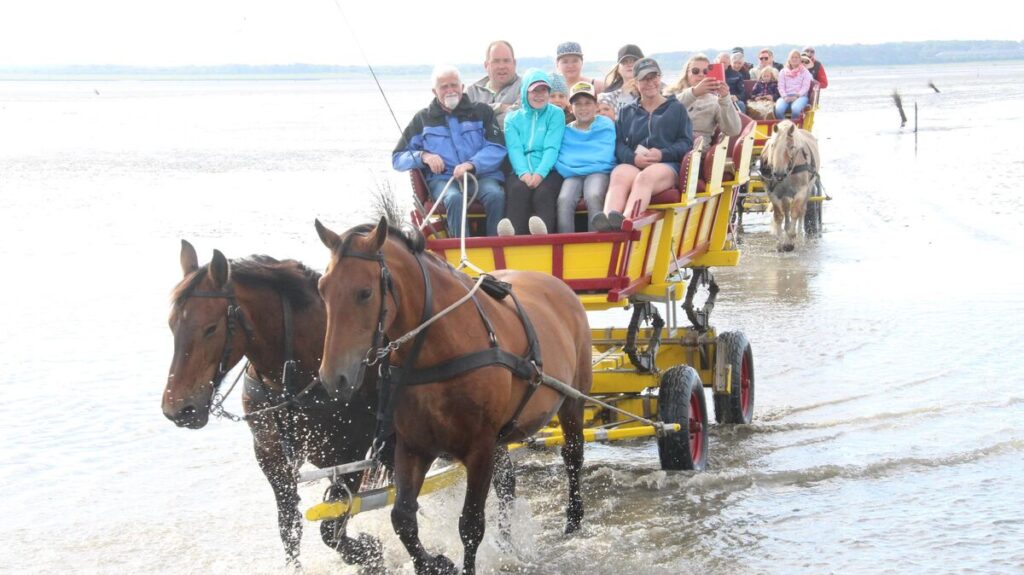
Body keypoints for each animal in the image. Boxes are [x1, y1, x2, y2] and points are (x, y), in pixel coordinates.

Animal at [161, 238, 382, 568]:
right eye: (171, 324)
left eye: (211, 328)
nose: (177, 409)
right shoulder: (272, 457)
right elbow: (289, 528)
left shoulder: (353, 452)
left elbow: (333, 528)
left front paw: (371, 551)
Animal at [315, 217, 598, 572]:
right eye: (322, 288)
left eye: (364, 293)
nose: (333, 377)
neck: (441, 347)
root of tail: (558, 285)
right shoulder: (413, 447)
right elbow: (402, 518)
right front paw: (433, 562)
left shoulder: (479, 448)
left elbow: (471, 525)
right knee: (507, 483)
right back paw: (507, 542)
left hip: (573, 399)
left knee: (572, 456)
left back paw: (573, 518)